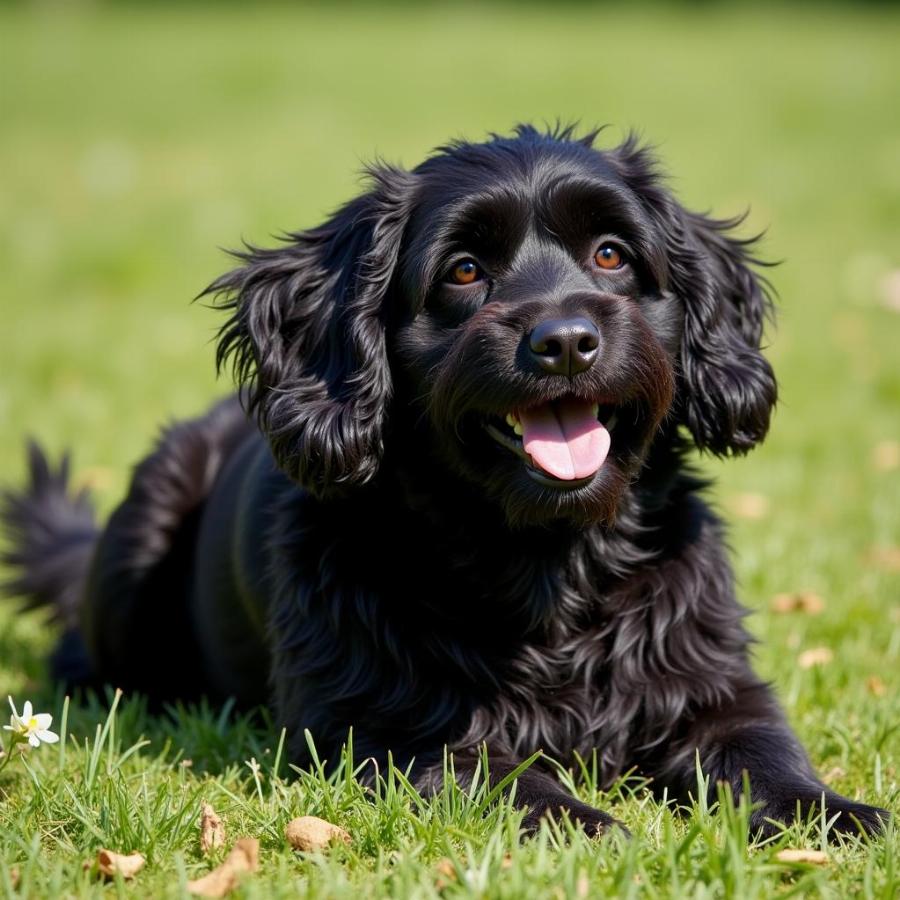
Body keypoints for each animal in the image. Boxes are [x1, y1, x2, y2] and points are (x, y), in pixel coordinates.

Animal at [0, 125, 884, 836]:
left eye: (611, 254)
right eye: (463, 270)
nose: (567, 340)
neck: (545, 562)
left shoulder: (712, 685)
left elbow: (765, 750)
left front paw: (832, 815)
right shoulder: (379, 728)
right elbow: (503, 778)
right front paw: (587, 827)